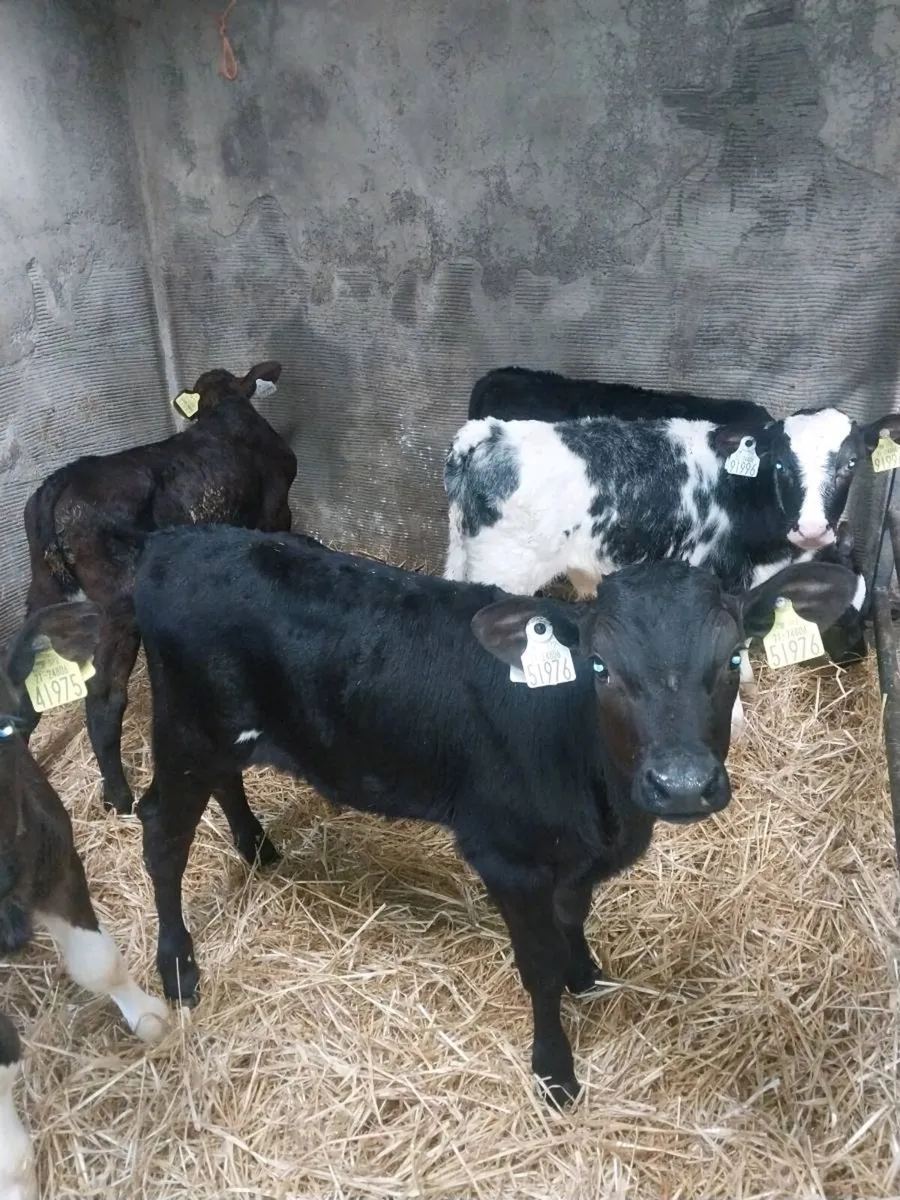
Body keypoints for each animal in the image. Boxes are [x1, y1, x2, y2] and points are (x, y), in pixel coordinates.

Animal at [129, 524, 856, 1107]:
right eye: (601, 667)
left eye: (733, 659)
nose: (680, 785)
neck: (606, 812)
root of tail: (180, 540)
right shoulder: (508, 858)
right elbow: (537, 967)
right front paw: (555, 1072)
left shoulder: (574, 859)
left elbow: (573, 918)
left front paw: (586, 974)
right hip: (187, 734)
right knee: (160, 834)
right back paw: (178, 967)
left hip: (224, 736)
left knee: (225, 786)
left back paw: (257, 847)